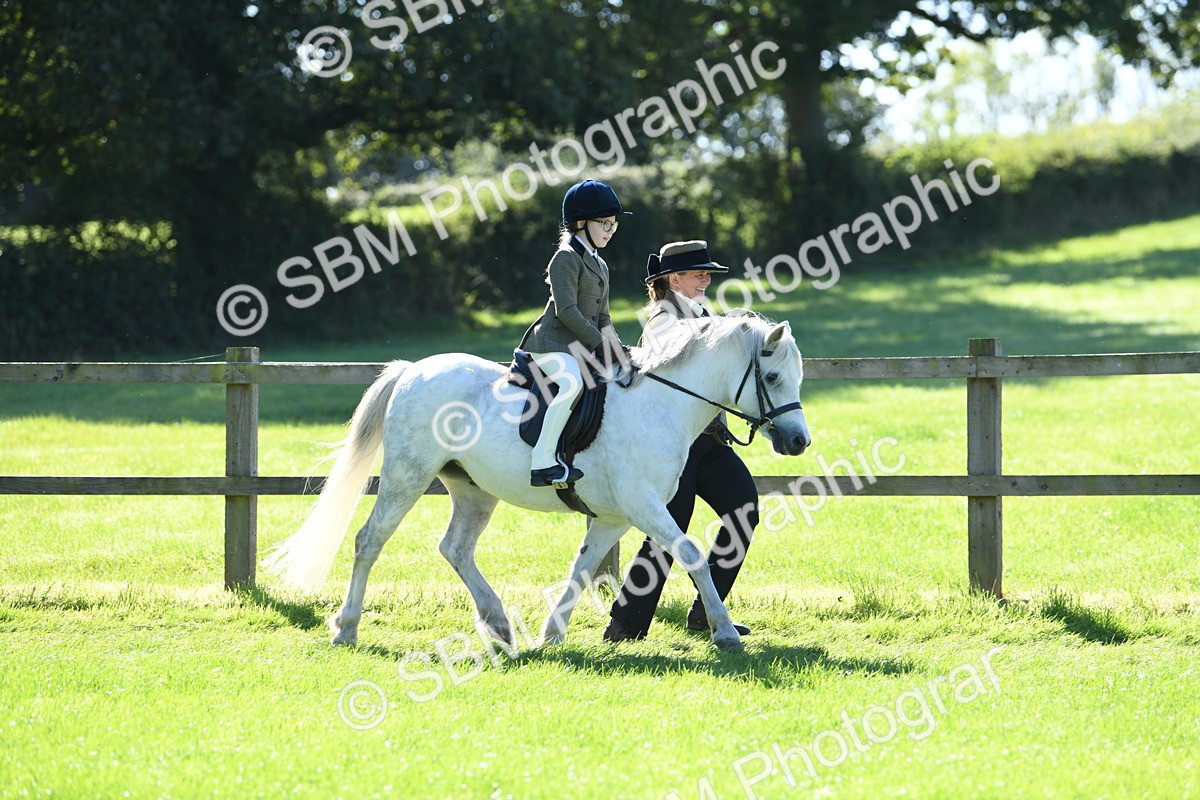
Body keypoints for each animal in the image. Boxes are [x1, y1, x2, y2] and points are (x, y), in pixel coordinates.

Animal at [264, 312, 811, 651]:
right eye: (774, 379)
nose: (799, 441)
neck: (662, 403)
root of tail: (413, 370)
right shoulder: (643, 505)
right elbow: (693, 553)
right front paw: (725, 633)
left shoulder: (613, 518)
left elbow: (582, 570)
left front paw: (552, 633)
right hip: (408, 475)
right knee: (370, 540)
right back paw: (347, 628)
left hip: (472, 490)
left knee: (455, 548)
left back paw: (499, 624)